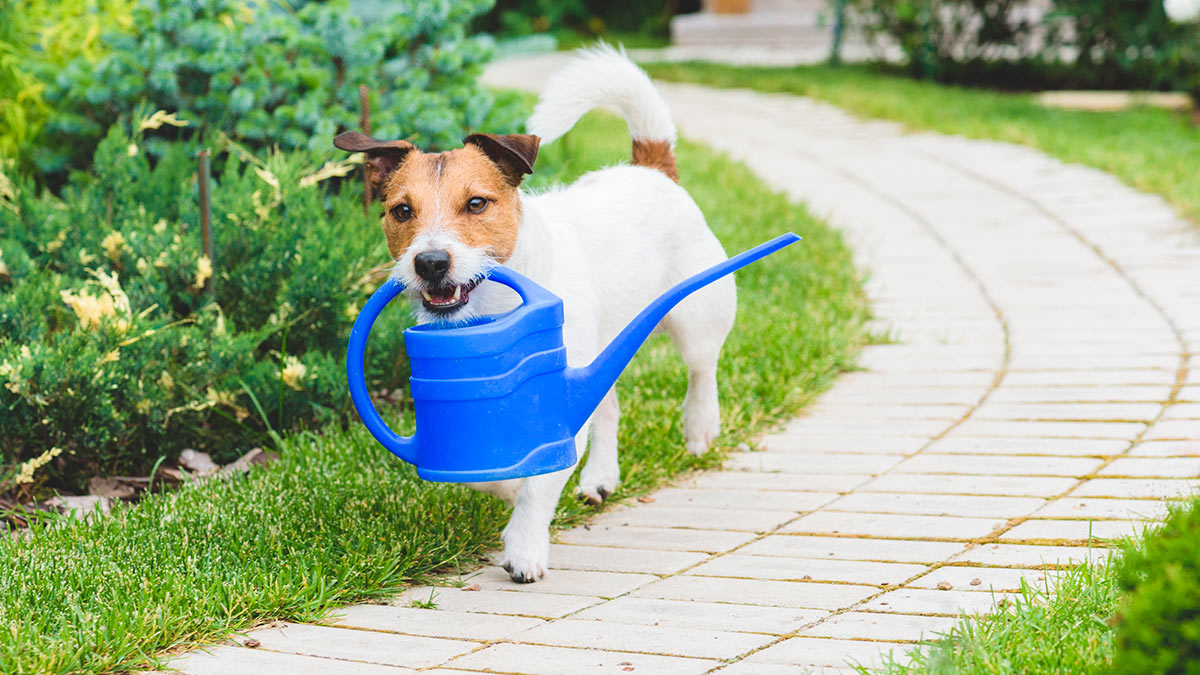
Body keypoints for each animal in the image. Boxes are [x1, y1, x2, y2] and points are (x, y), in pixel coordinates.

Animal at [333, 45, 734, 583]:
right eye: (401, 211)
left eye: (476, 203)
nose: (430, 262)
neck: (491, 307)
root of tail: (651, 168)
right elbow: (500, 472)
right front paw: (506, 486)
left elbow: (539, 485)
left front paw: (524, 546)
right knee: (608, 405)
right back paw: (601, 476)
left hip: (696, 315)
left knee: (702, 366)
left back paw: (699, 426)